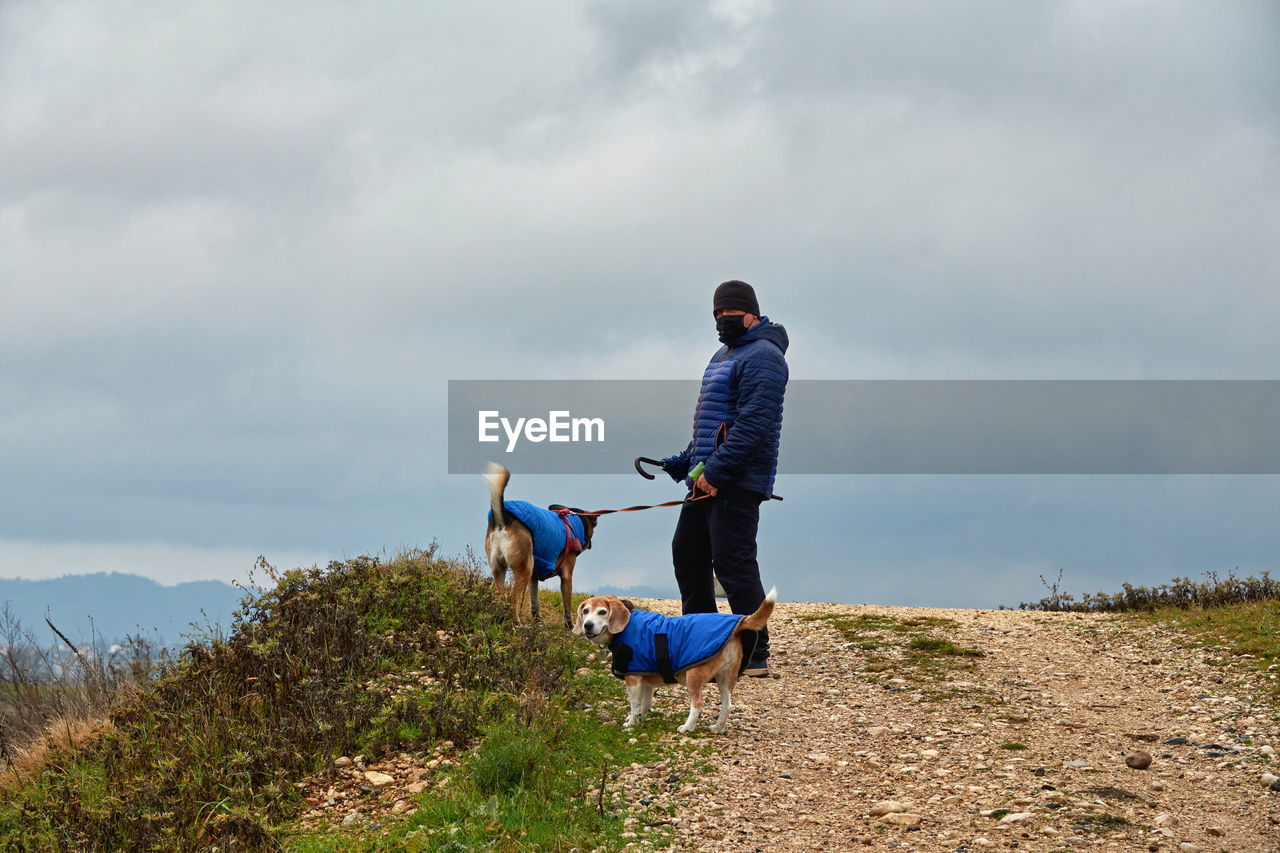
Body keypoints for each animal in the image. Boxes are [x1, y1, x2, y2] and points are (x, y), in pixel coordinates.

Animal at [483, 466, 599, 625]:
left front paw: (537, 623)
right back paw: (517, 624)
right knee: (513, 599)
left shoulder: (534, 577)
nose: (590, 544)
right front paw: (570, 625)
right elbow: (567, 604)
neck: (574, 523)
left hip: (499, 569)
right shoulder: (567, 575)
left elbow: (534, 603)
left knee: (502, 597)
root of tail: (502, 517)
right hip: (524, 569)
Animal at [573, 589, 773, 732]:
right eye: (585, 611)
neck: (626, 624)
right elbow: (644, 705)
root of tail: (738, 626)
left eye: (602, 612)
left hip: (694, 677)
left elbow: (635, 705)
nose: (587, 625)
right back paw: (717, 727)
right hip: (725, 678)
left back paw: (687, 727)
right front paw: (637, 720)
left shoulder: (633, 680)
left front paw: (631, 724)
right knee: (728, 705)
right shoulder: (645, 682)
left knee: (697, 703)